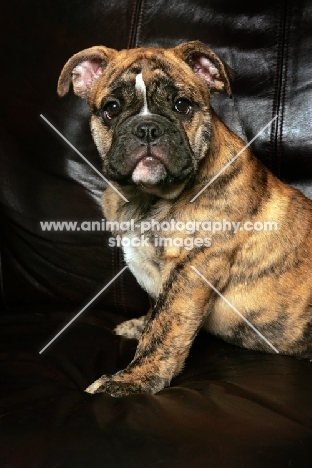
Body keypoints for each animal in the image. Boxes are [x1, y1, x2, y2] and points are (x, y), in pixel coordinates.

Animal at [58, 42, 312, 396]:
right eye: (111, 108)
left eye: (182, 105)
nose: (147, 128)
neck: (148, 199)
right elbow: (155, 309)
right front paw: (139, 326)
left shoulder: (192, 270)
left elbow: (165, 329)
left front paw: (131, 380)